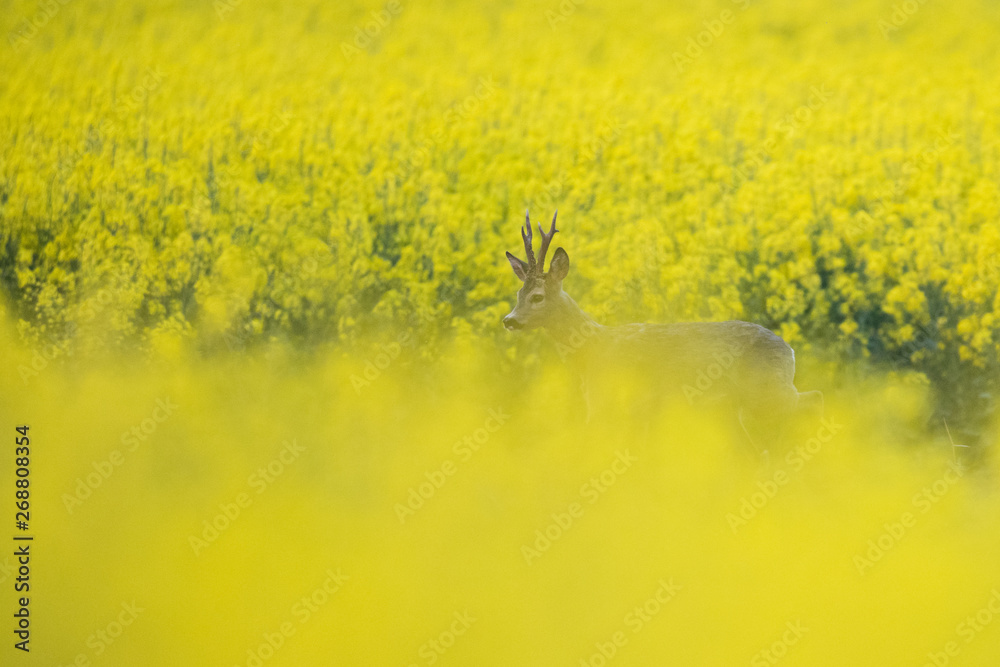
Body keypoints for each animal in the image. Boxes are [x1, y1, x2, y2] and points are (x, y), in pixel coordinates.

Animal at [504, 211, 824, 456]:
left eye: (537, 297)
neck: (593, 348)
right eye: (518, 293)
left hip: (767, 393)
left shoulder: (609, 401)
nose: (509, 320)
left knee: (811, 400)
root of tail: (789, 349)